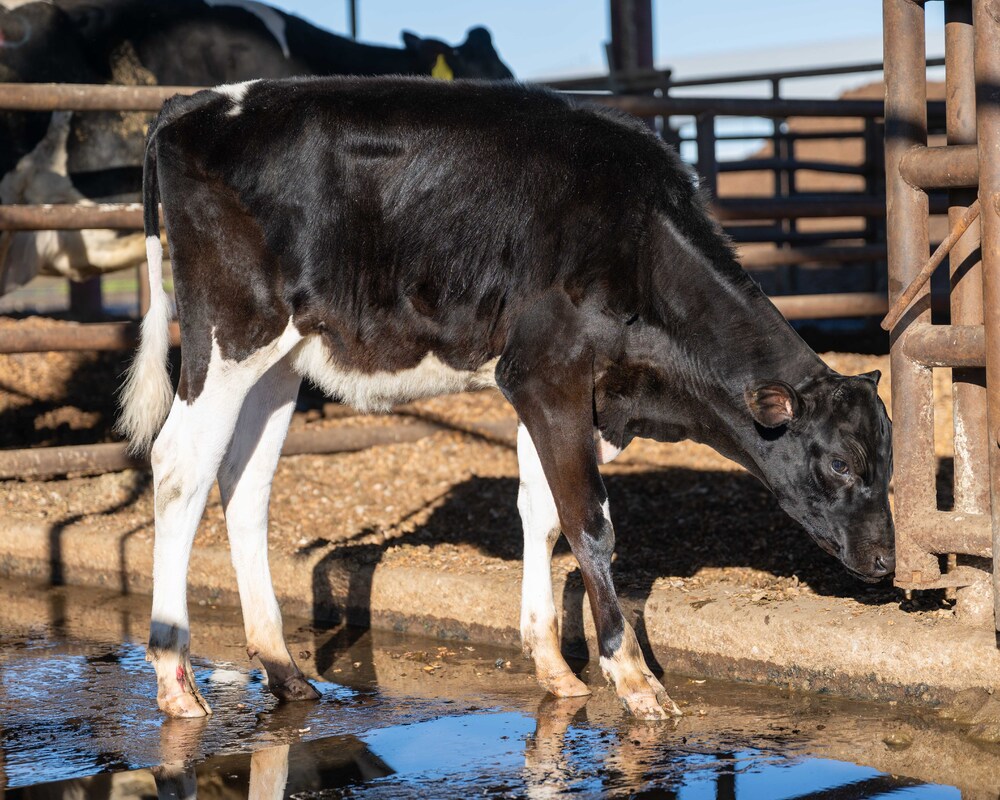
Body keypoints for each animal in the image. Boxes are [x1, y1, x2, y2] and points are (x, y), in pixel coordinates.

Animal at [120, 77, 895, 721]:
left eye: (886, 464)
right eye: (841, 463)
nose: (889, 563)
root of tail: (198, 103)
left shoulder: (569, 392)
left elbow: (542, 514)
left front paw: (553, 665)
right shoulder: (545, 373)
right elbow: (589, 522)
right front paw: (633, 678)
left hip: (280, 358)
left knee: (243, 483)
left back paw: (284, 672)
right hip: (231, 332)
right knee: (180, 466)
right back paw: (174, 678)